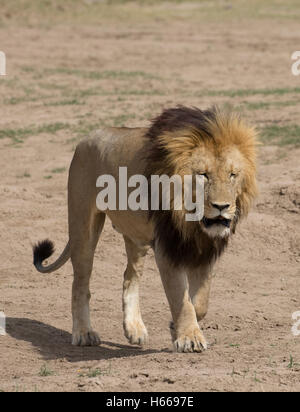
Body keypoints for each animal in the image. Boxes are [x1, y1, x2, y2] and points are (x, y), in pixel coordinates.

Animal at [32, 104, 258, 352]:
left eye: (232, 174)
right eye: (203, 175)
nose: (222, 207)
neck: (191, 220)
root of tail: (86, 138)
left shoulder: (204, 247)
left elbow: (200, 301)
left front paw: (175, 327)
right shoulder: (166, 247)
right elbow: (180, 297)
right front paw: (189, 338)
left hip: (136, 237)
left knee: (129, 276)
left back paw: (134, 330)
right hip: (83, 226)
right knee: (80, 284)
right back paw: (84, 333)